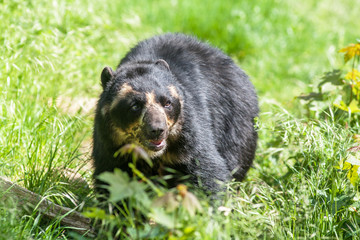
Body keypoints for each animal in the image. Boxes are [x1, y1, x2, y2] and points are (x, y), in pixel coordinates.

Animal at [91, 32, 258, 194]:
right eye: (135, 105)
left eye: (167, 103)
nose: (157, 130)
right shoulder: (109, 141)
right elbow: (110, 174)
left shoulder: (189, 128)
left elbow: (206, 168)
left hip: (236, 123)